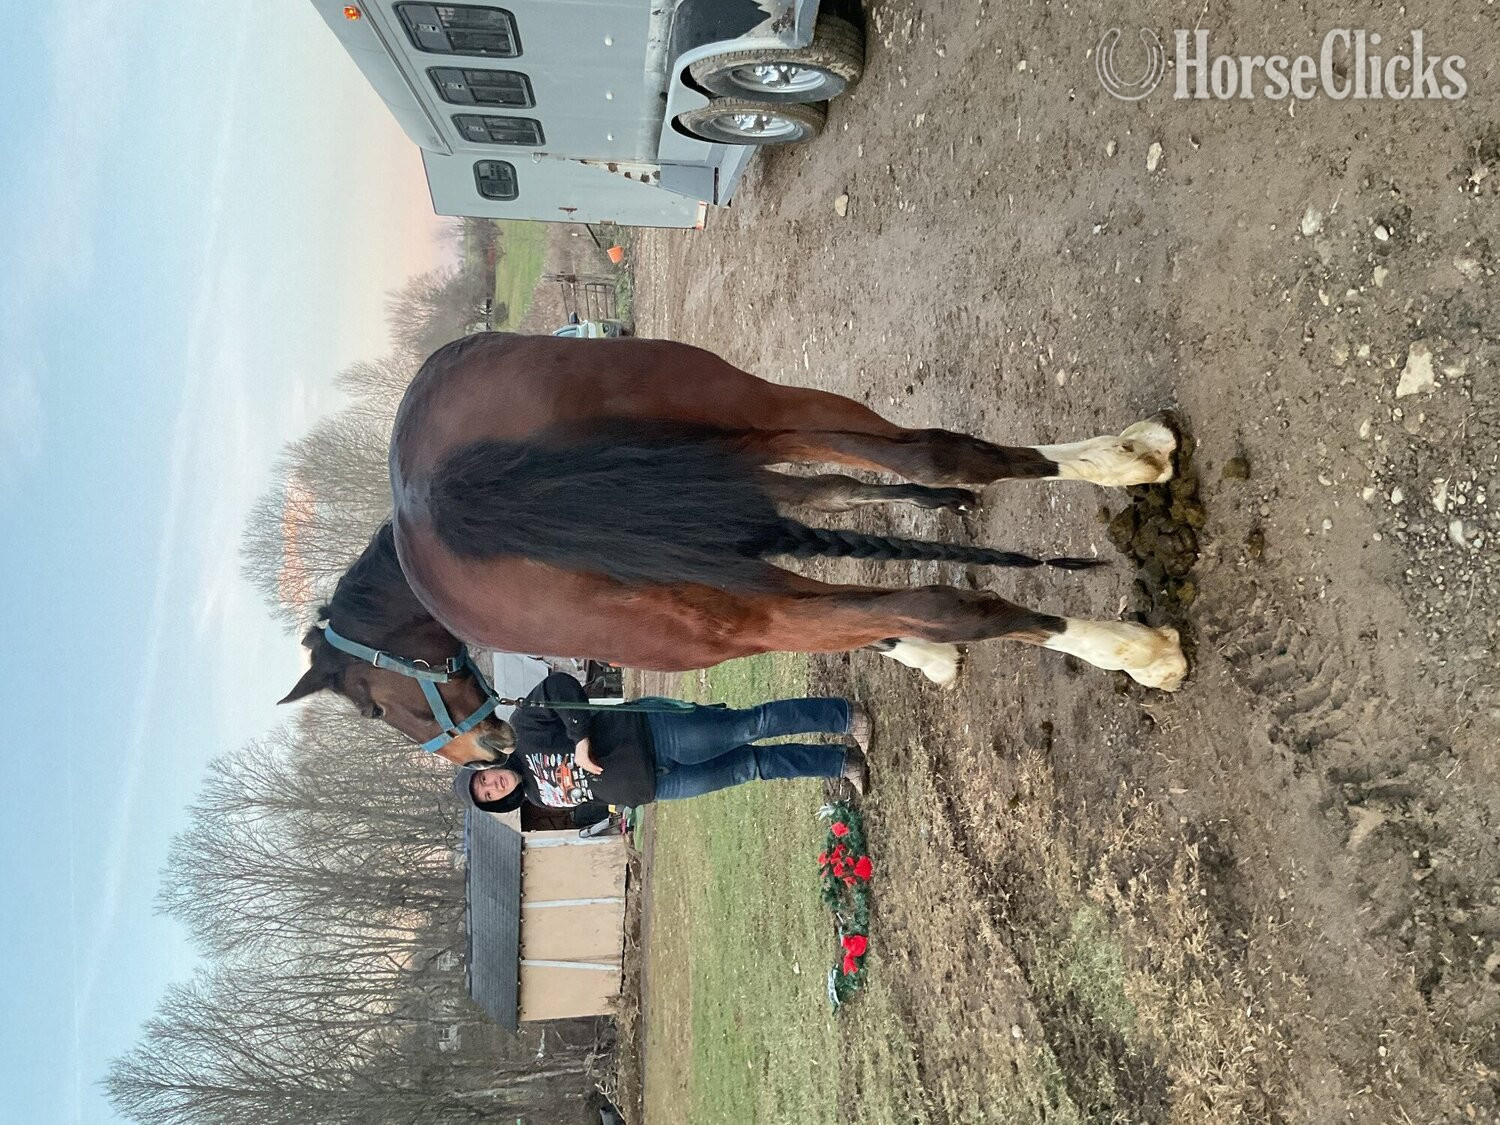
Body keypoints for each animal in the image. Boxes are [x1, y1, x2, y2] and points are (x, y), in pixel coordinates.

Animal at [281, 333, 1187, 765]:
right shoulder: (747, 517)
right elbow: (860, 535)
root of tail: (444, 495)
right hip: (753, 457)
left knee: (930, 501)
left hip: (747, 429)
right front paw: (924, 655)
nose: (483, 752)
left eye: (374, 707)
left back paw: (1132, 629)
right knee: (934, 485)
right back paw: (1126, 503)